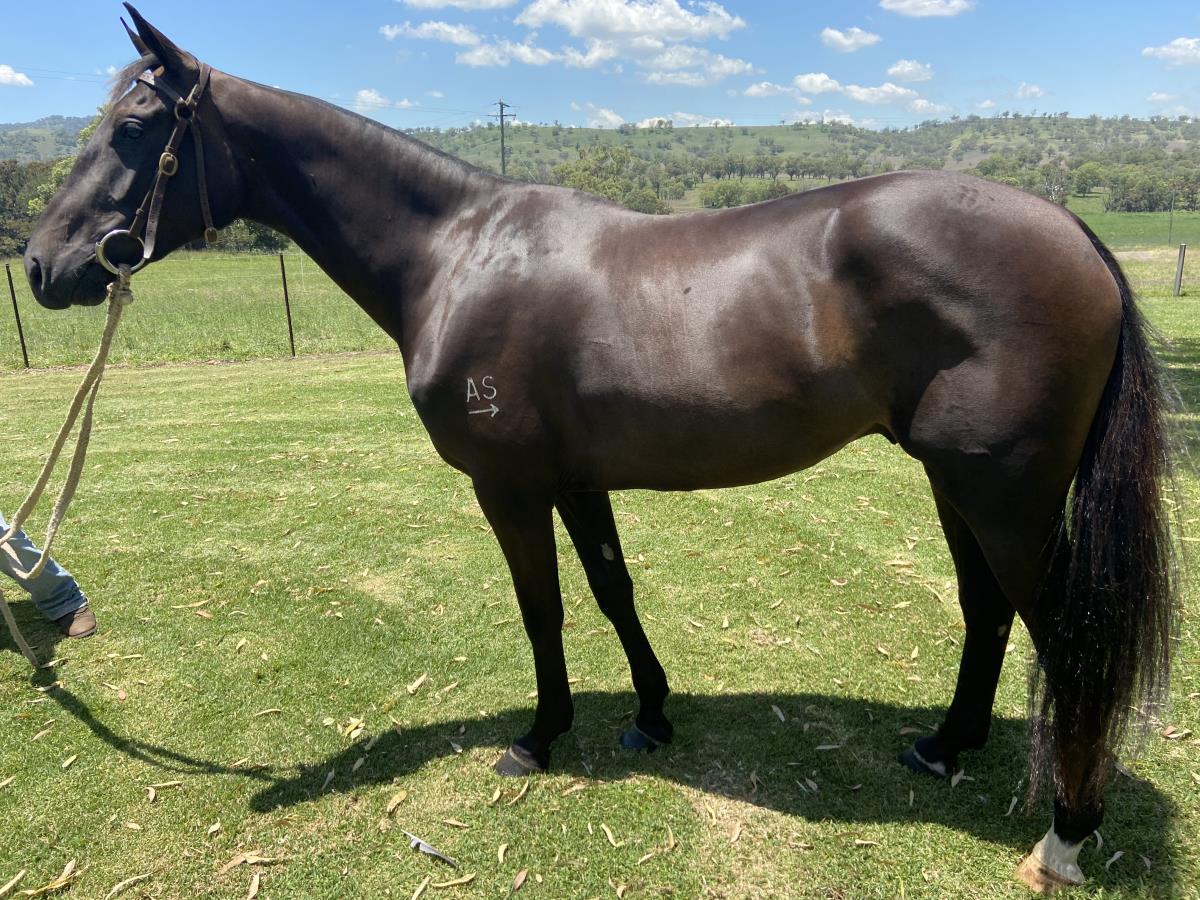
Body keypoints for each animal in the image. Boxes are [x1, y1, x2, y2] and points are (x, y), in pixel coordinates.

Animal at [23, 6, 1178, 891]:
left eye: (134, 127)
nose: (41, 264)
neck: (457, 253)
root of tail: (1074, 234)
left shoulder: (509, 487)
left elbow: (542, 606)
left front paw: (539, 737)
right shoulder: (577, 480)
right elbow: (614, 589)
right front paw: (652, 717)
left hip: (1007, 497)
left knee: (1065, 639)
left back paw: (1065, 837)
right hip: (958, 485)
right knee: (987, 613)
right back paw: (943, 748)